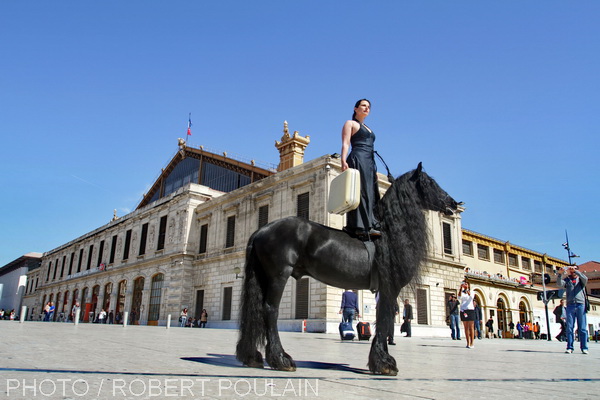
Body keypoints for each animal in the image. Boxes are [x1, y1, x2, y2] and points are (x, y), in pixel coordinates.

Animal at [236, 162, 460, 376]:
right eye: (429, 182)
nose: (453, 203)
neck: (388, 234)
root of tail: (261, 231)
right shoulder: (390, 288)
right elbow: (385, 319)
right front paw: (384, 363)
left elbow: (382, 319)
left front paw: (381, 360)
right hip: (278, 276)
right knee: (270, 310)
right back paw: (281, 359)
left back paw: (252, 356)